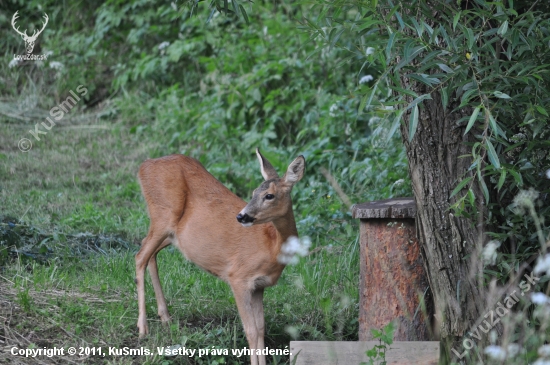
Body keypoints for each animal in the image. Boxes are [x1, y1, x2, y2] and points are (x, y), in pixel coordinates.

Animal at [134, 148, 306, 364]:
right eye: (253, 193)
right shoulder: (238, 278)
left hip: (171, 233)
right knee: (140, 256)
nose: (241, 216)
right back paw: (143, 328)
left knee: (149, 252)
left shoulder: (259, 286)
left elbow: (260, 329)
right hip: (162, 216)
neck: (272, 246)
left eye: (269, 195)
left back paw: (165, 317)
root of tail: (144, 166)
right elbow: (250, 331)